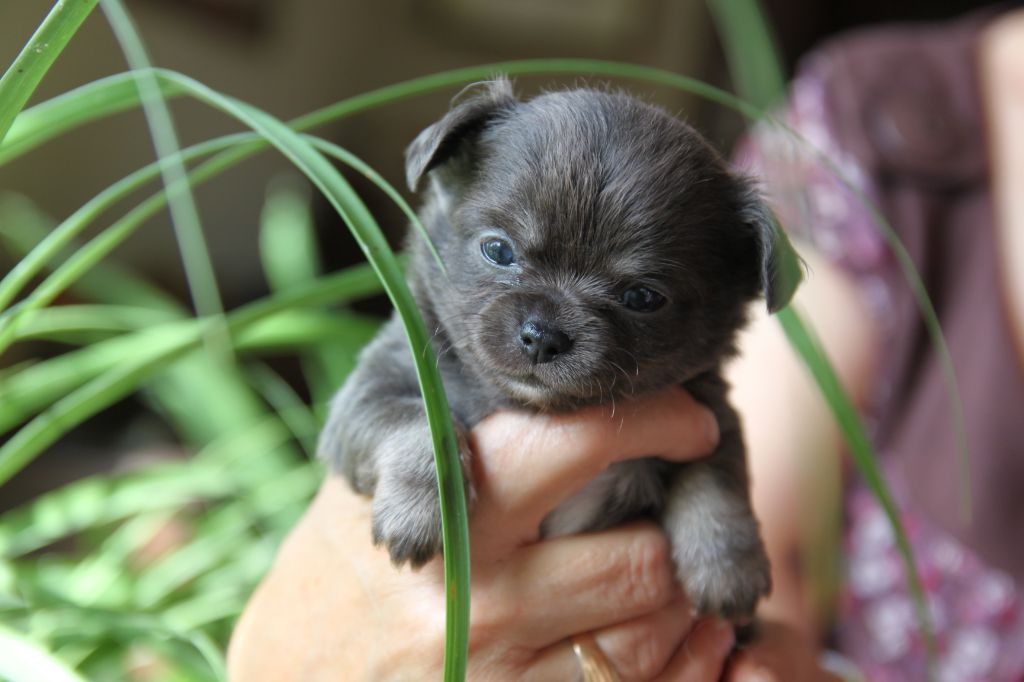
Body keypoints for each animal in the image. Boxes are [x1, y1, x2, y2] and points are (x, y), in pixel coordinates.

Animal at [317, 79, 798, 614]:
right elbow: (417, 423)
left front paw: (726, 565)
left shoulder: (712, 416)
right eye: (498, 250)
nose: (542, 336)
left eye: (643, 298)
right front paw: (427, 509)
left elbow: (716, 477)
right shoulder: (370, 390)